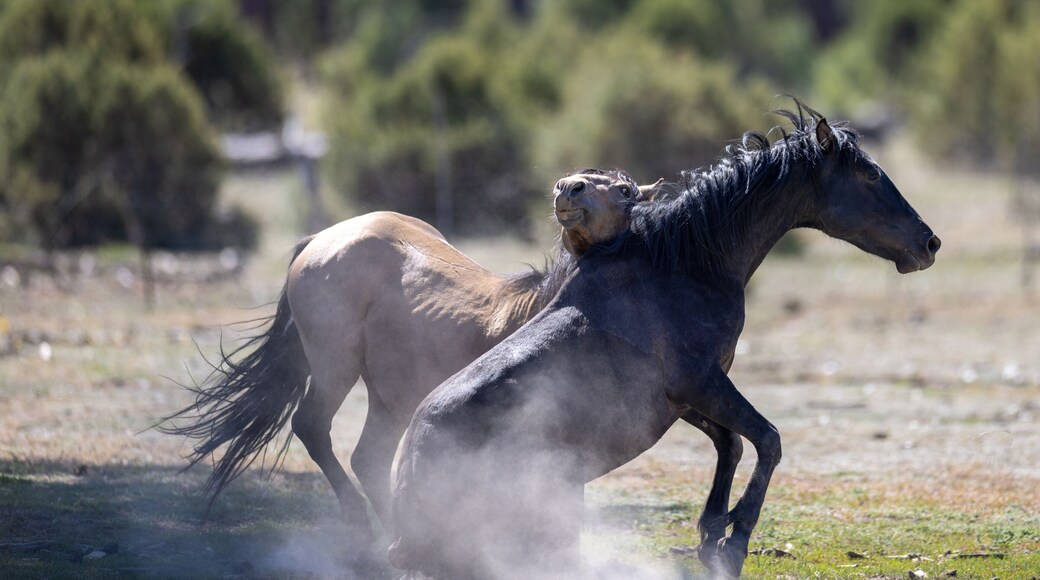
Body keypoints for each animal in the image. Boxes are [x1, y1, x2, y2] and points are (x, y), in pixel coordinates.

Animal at [159, 169, 654, 556]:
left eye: (625, 189)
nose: (568, 189)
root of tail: (323, 238)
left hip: (388, 397)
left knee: (367, 458)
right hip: (335, 366)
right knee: (313, 427)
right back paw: (367, 529)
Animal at [388, 104, 941, 579]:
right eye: (870, 175)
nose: (929, 243)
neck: (683, 264)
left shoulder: (683, 398)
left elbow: (731, 444)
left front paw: (711, 532)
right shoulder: (701, 382)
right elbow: (768, 440)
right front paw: (734, 543)